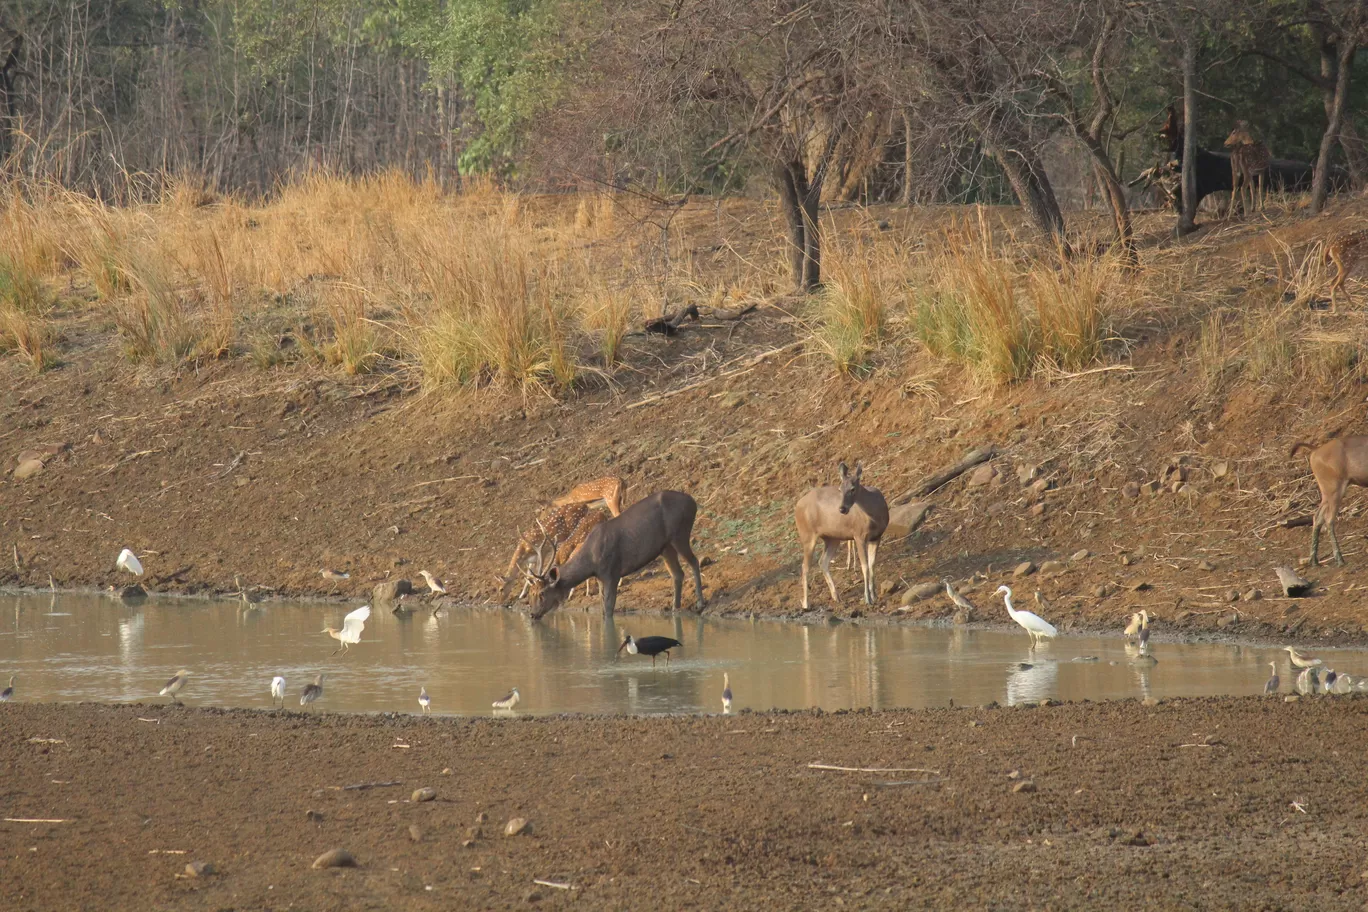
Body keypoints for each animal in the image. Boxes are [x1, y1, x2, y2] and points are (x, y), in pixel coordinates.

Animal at [517, 492, 700, 620]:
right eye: (531, 593)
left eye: (542, 593)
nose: (533, 614)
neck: (591, 561)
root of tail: (693, 502)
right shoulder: (600, 577)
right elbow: (603, 609)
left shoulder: (612, 572)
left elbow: (609, 608)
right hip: (665, 547)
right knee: (678, 574)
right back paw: (675, 608)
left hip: (680, 532)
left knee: (694, 561)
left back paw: (700, 604)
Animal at [798, 464, 891, 612]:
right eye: (840, 489)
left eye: (852, 488)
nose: (842, 509)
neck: (874, 516)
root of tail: (796, 505)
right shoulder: (859, 535)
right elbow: (865, 566)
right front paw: (867, 599)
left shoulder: (877, 537)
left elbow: (872, 564)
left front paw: (874, 595)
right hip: (807, 535)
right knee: (805, 567)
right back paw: (806, 604)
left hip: (832, 538)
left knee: (822, 561)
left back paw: (836, 596)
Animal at [1285, 437, 1368, 566]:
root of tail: (1316, 449)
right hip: (1334, 491)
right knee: (1329, 519)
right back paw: (1339, 559)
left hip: (1327, 494)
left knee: (1317, 516)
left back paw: (1314, 560)